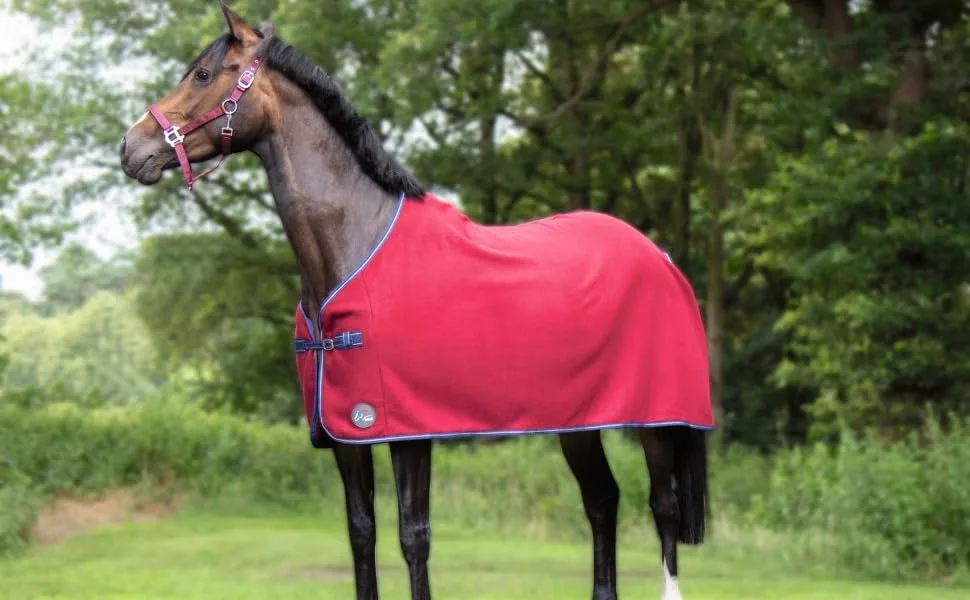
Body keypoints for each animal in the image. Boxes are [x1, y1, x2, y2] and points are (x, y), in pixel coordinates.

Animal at [119, 3, 713, 599]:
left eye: (201, 74)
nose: (131, 148)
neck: (353, 245)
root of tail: (659, 257)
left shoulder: (407, 430)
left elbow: (413, 536)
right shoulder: (346, 431)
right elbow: (361, 531)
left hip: (656, 419)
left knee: (662, 507)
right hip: (579, 422)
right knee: (602, 500)